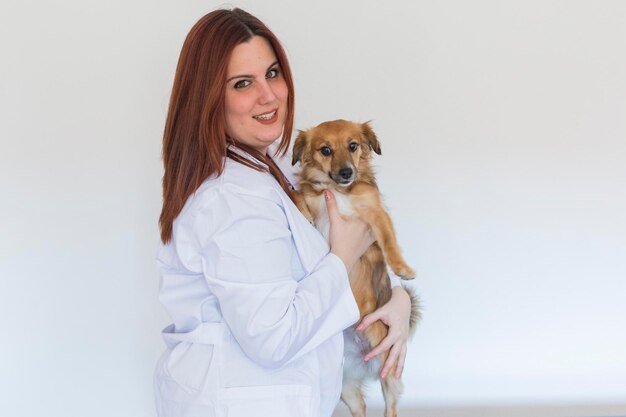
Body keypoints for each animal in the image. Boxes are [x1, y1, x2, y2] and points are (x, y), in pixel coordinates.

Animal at [292, 118, 420, 416]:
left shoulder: (376, 213)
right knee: (359, 406)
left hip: (388, 369)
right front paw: (301, 210)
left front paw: (401, 267)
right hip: (345, 387)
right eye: (325, 150)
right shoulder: (314, 198)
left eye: (353, 146)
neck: (339, 191)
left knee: (391, 407)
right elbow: (297, 195)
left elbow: (389, 240)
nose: (346, 172)